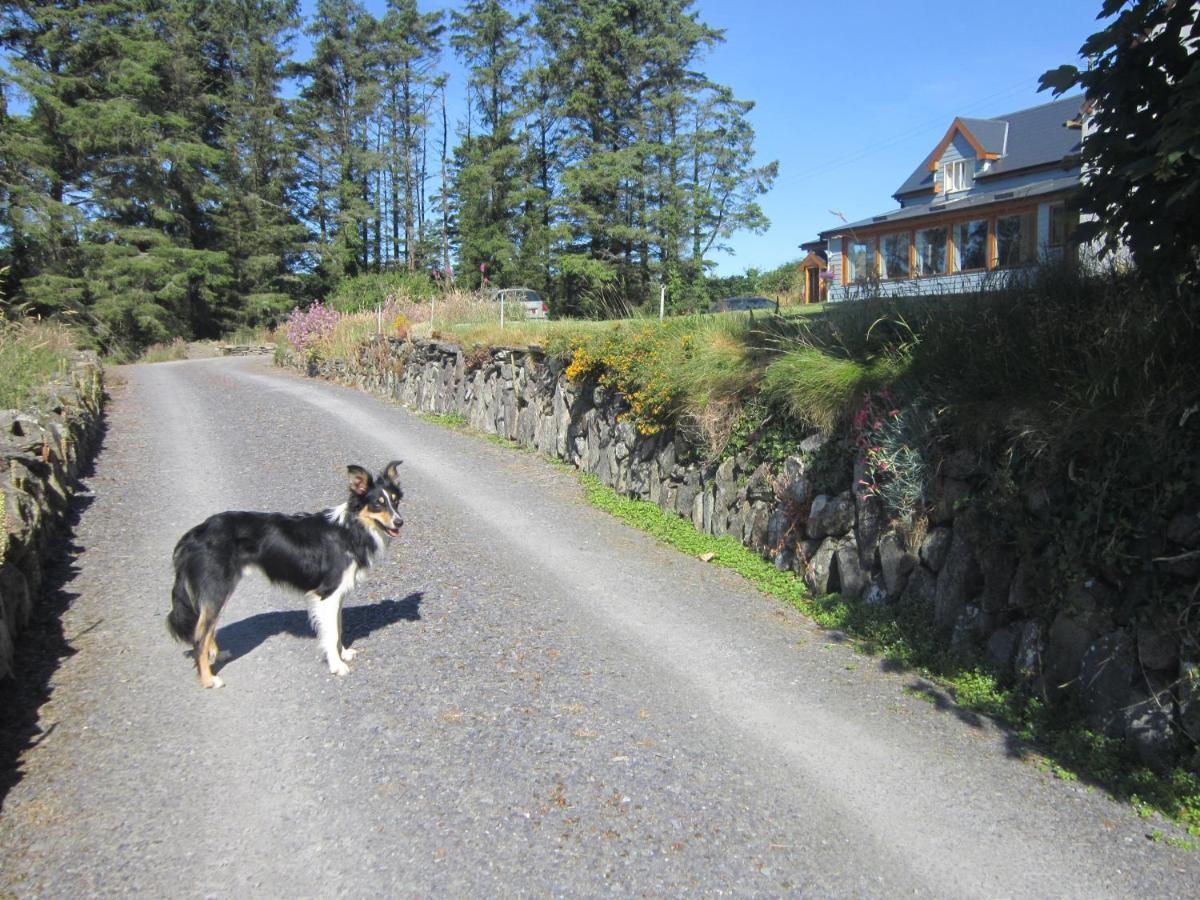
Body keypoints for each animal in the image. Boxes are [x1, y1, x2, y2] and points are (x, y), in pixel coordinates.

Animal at [166, 465, 405, 691]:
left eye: (395, 502)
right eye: (377, 504)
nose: (399, 522)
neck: (352, 529)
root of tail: (193, 535)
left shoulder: (336, 595)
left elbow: (336, 628)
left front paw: (342, 654)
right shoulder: (327, 594)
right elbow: (331, 633)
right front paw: (337, 666)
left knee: (206, 629)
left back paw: (217, 654)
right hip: (217, 589)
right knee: (199, 636)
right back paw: (209, 679)